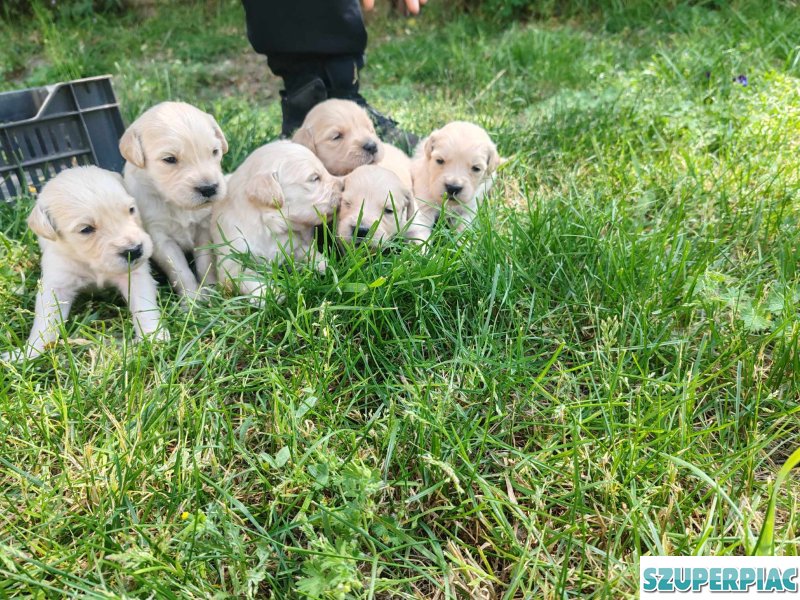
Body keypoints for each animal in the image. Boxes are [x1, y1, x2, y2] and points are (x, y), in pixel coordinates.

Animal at [3, 165, 167, 360]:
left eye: (131, 210)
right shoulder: (56, 282)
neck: (91, 263)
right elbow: (45, 322)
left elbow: (144, 306)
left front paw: (154, 336)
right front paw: (28, 352)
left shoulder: (135, 275)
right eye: (86, 229)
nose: (135, 250)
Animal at [121, 101, 228, 304]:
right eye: (169, 159)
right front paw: (192, 301)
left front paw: (210, 292)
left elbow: (205, 263)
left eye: (215, 152)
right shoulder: (160, 239)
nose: (209, 188)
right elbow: (180, 271)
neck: (176, 204)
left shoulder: (203, 229)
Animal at [211, 140, 342, 300]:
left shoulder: (294, 245)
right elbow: (247, 276)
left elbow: (311, 254)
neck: (267, 224)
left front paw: (328, 267)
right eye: (314, 178)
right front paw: (269, 293)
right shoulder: (231, 261)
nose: (343, 186)